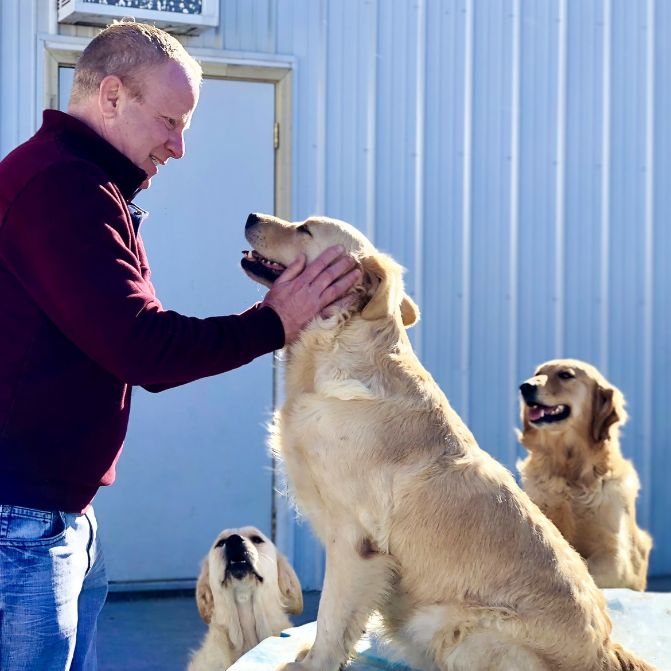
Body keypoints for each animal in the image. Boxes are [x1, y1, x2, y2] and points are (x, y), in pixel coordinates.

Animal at [516, 360, 652, 592]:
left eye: (565, 375)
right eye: (537, 373)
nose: (525, 387)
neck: (570, 473)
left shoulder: (616, 556)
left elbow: (588, 569)